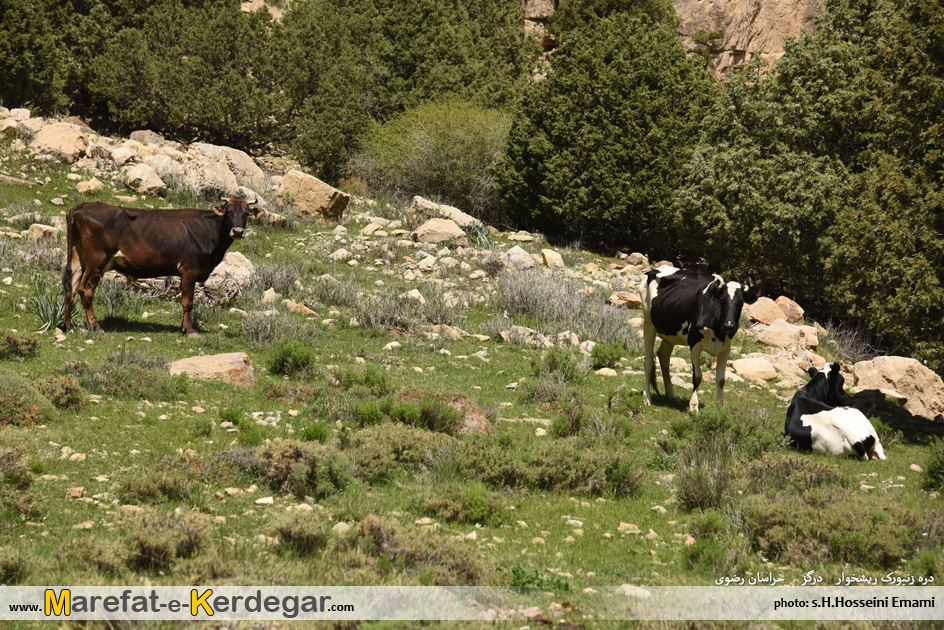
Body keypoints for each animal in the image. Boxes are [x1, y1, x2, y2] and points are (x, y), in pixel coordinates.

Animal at [62, 198, 260, 336]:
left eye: (246, 213)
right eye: (229, 211)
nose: (238, 231)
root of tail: (84, 205)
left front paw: (183, 327)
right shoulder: (190, 269)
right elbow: (188, 302)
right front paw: (189, 330)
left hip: (77, 257)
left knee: (70, 288)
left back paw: (68, 326)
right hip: (97, 261)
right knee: (85, 291)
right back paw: (96, 327)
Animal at [636, 266, 756, 414]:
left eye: (740, 303)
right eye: (722, 301)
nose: (729, 325)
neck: (718, 332)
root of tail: (657, 268)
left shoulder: (725, 347)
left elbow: (721, 379)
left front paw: (720, 406)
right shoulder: (694, 342)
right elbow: (697, 376)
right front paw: (693, 406)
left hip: (670, 333)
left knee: (663, 356)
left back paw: (671, 394)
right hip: (648, 323)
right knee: (648, 361)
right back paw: (647, 397)